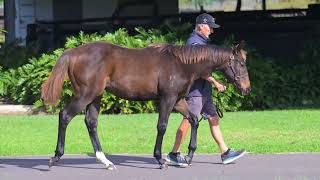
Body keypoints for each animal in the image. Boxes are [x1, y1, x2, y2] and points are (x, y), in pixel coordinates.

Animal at [40, 41, 250, 170]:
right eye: (240, 63)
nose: (247, 88)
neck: (181, 64)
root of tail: (72, 52)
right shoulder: (167, 99)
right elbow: (162, 126)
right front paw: (160, 159)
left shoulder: (178, 100)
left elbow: (193, 120)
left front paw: (188, 157)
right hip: (85, 95)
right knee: (65, 116)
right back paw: (55, 157)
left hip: (95, 96)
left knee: (91, 123)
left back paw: (105, 161)